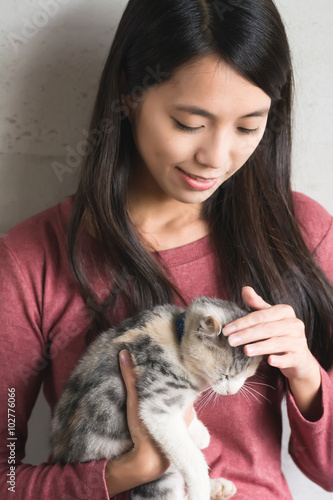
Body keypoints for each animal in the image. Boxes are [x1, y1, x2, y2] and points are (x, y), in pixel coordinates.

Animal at [50, 298, 260, 498]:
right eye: (224, 374)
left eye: (246, 375)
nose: (231, 392)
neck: (177, 339)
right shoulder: (159, 406)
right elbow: (192, 458)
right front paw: (201, 489)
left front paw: (199, 433)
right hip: (157, 477)